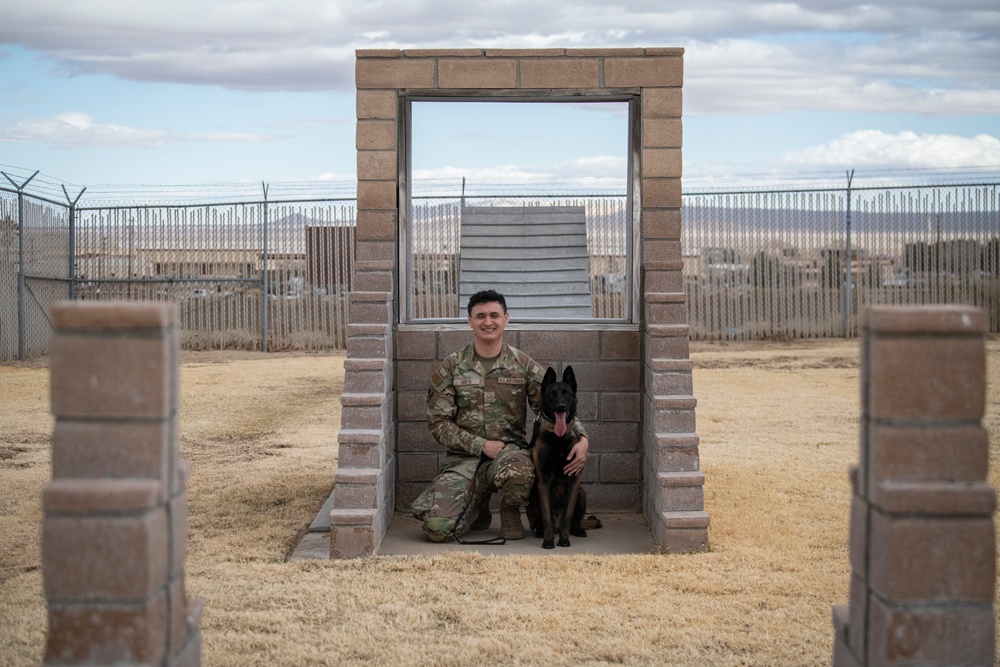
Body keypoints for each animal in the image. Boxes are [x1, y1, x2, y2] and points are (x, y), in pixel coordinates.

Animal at [524, 366, 592, 548]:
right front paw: (548, 541)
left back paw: (577, 530)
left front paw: (564, 540)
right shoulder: (543, 482)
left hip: (581, 493)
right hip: (533, 494)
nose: (561, 406)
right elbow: (546, 517)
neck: (558, 439)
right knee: (541, 521)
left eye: (566, 394)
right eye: (552, 394)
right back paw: (541, 532)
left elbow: (567, 517)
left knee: (574, 521)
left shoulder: (574, 482)